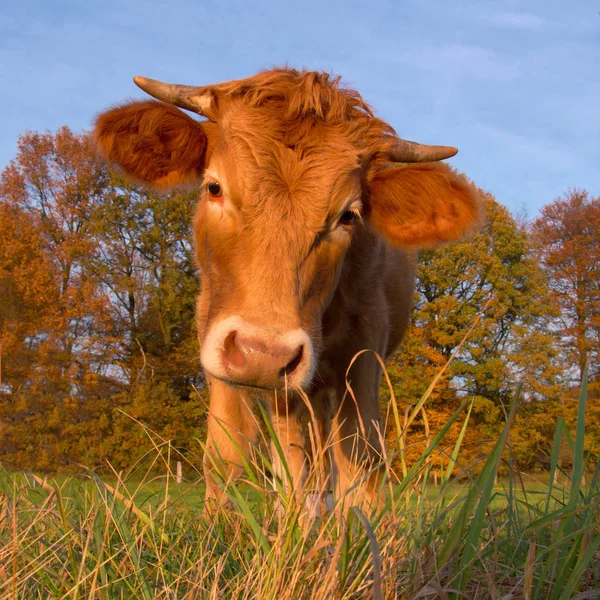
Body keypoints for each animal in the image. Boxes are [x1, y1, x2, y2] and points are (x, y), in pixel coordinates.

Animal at [94, 68, 478, 512]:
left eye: (348, 215)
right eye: (214, 187)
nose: (264, 354)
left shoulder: (366, 341)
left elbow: (361, 456)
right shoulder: (215, 332)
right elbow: (231, 453)